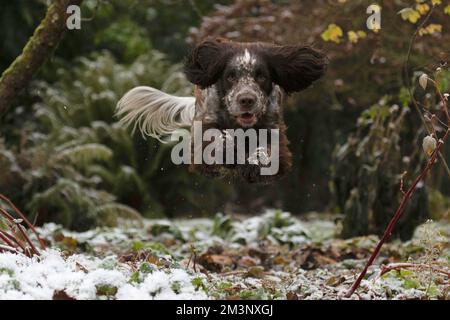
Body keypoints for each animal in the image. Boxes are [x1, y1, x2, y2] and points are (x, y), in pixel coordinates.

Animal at [116, 37, 326, 184]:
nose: (246, 100)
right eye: (231, 76)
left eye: (261, 76)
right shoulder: (207, 121)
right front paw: (228, 150)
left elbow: (266, 149)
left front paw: (253, 165)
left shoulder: (273, 128)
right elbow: (217, 139)